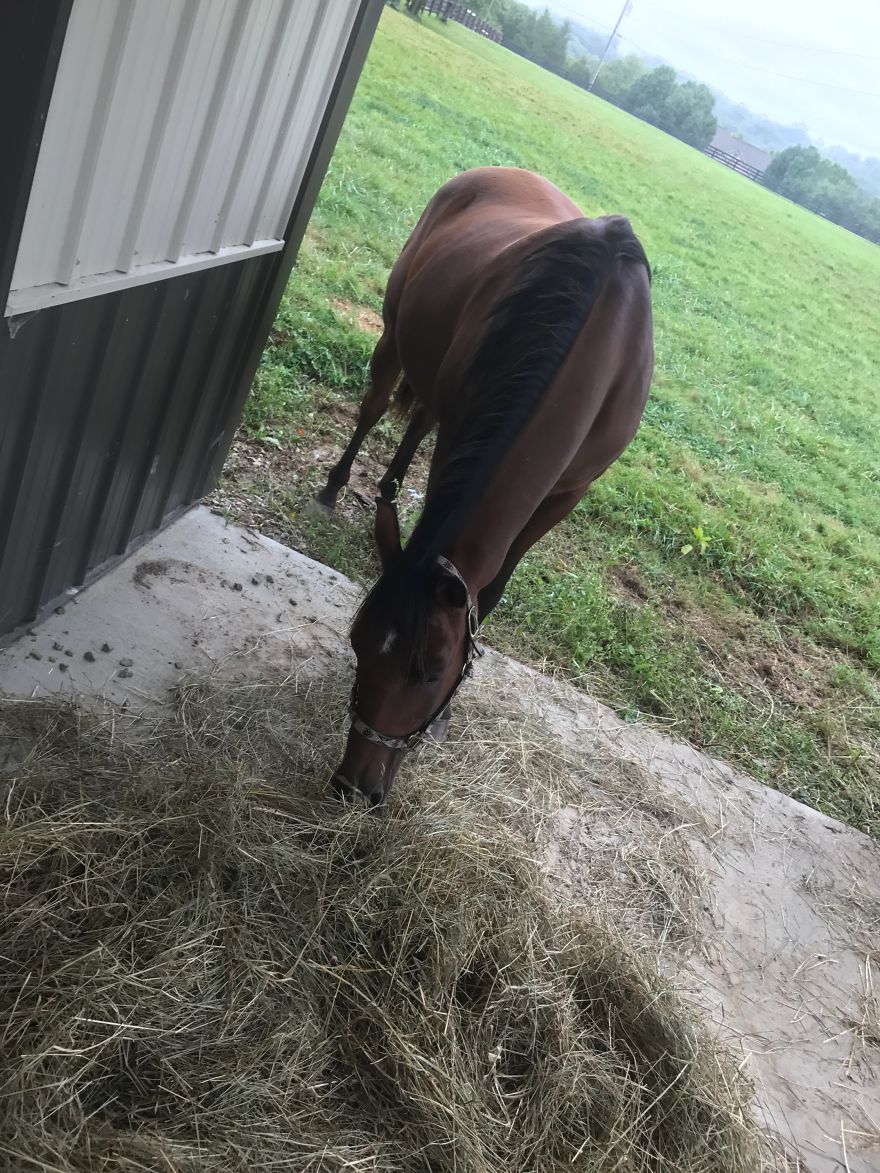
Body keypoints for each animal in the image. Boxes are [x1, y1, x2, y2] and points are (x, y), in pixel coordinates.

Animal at [316, 167, 653, 806]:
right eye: (357, 643)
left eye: (431, 671)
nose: (353, 785)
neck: (602, 334)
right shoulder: (463, 431)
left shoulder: (566, 493)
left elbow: (491, 589)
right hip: (395, 334)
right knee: (376, 408)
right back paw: (336, 485)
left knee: (417, 419)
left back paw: (389, 489)